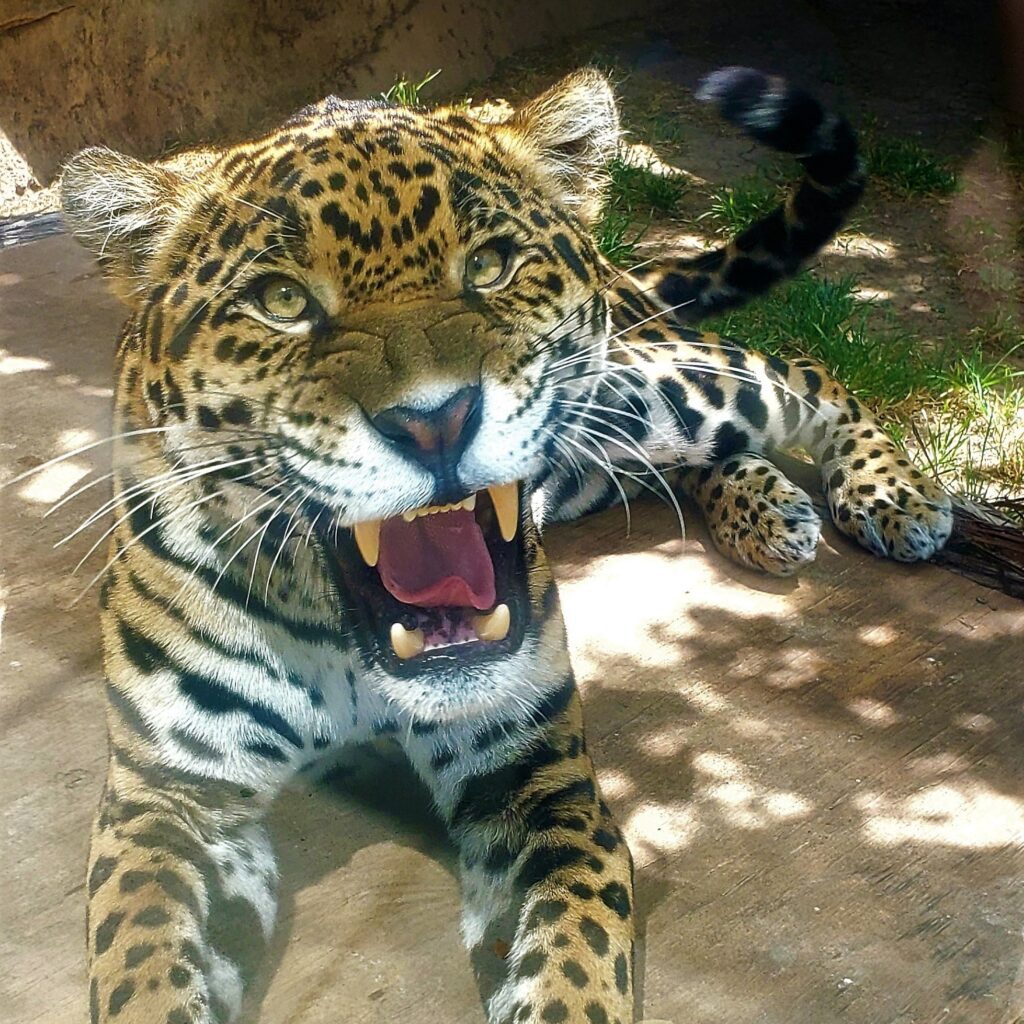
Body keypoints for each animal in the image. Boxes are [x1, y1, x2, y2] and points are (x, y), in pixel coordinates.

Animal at [55, 66, 952, 1024]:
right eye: (283, 302)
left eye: (489, 265)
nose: (434, 419)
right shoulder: (170, 805)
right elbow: (142, 966)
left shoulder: (541, 784)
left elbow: (573, 967)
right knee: (677, 465)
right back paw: (767, 507)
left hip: (661, 382)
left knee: (802, 376)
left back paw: (889, 495)